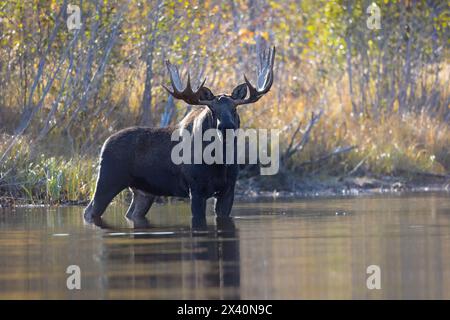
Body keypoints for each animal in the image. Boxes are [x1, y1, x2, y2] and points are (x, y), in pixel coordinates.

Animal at [83, 47, 276, 222]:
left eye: (235, 108)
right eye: (212, 109)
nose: (227, 126)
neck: (219, 160)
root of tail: (104, 144)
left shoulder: (228, 190)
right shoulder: (196, 189)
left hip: (143, 192)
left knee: (131, 213)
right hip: (108, 180)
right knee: (89, 210)